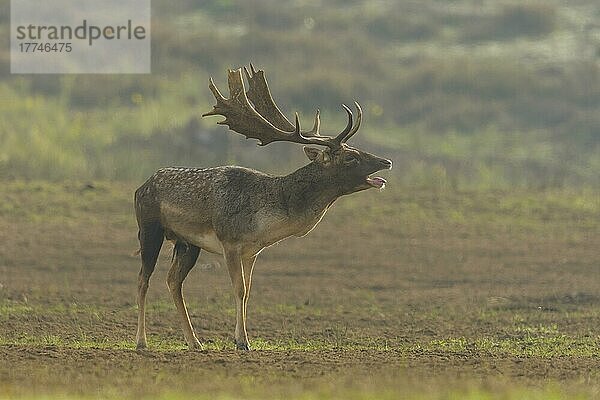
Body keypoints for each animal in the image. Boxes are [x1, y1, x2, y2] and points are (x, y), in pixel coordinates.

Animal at [133, 63, 392, 350]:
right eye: (350, 157)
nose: (387, 161)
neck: (266, 221)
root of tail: (140, 187)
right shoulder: (230, 242)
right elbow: (238, 289)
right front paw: (242, 341)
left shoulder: (252, 251)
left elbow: (247, 292)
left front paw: (242, 339)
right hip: (149, 229)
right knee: (143, 279)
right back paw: (142, 341)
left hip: (186, 243)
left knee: (172, 281)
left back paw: (195, 342)